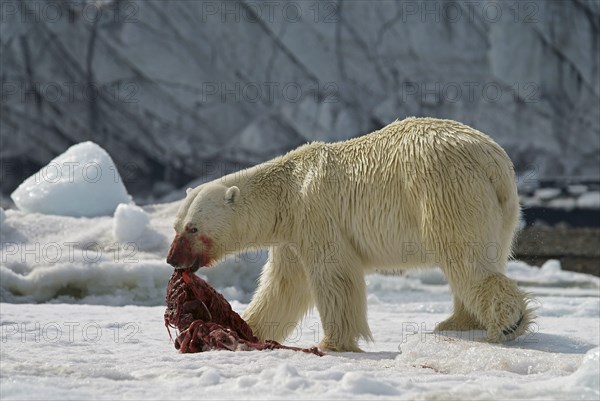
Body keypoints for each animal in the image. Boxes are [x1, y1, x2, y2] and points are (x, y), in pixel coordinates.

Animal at [166, 115, 532, 350]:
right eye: (177, 225)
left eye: (193, 228)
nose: (172, 259)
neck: (287, 191)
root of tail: (493, 161)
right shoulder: (293, 232)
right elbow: (284, 284)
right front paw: (246, 328)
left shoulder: (316, 213)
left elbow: (334, 276)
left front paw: (332, 342)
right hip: (504, 210)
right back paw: (458, 322)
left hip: (443, 189)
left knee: (464, 257)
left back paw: (506, 322)